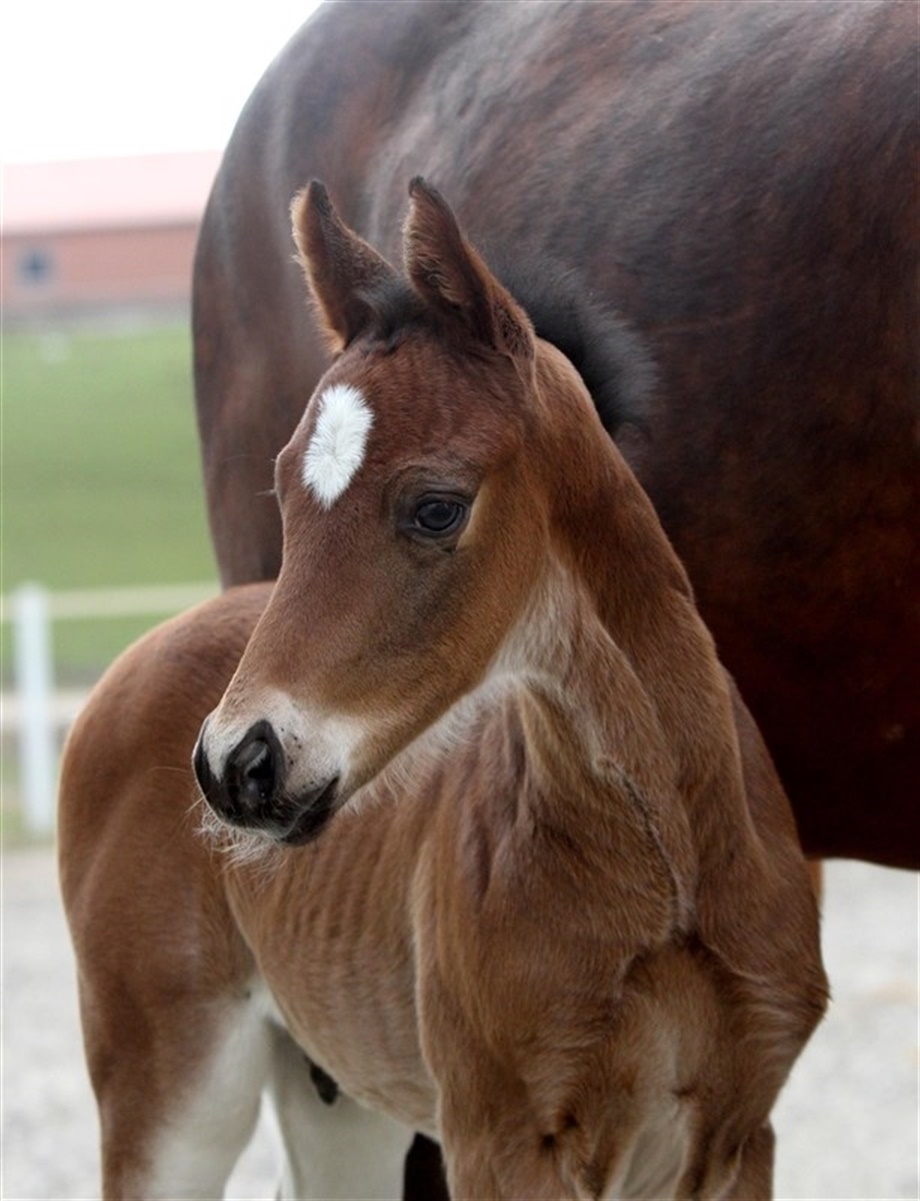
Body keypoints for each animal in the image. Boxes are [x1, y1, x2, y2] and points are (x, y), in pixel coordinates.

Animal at [59, 179, 827, 1199]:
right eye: (285, 491)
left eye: (436, 508)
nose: (236, 765)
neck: (672, 875)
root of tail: (139, 654)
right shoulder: (497, 1138)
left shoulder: (742, 1134)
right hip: (169, 1085)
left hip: (338, 1101)